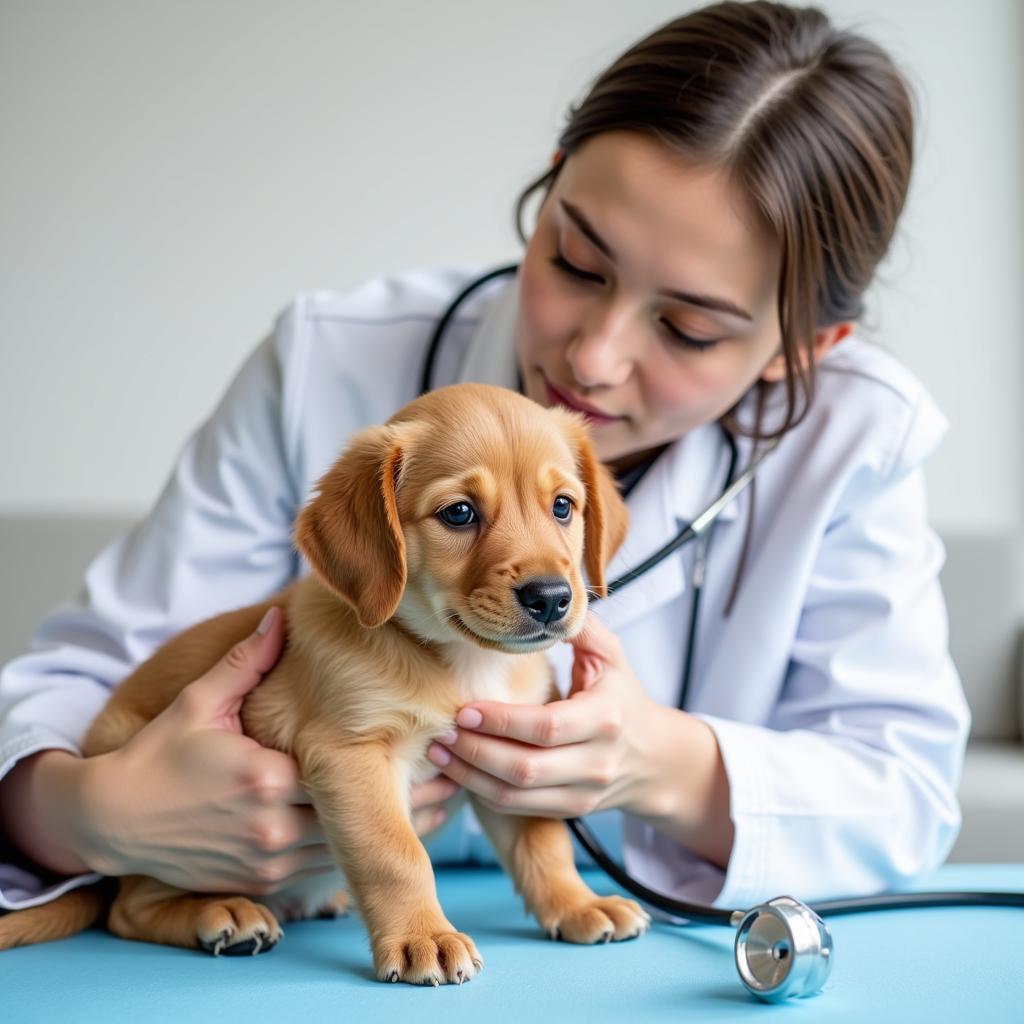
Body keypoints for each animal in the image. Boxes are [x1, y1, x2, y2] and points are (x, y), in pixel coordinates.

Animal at [0, 380, 651, 978]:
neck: (460, 659)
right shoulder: (349, 752)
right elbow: (397, 853)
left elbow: (543, 842)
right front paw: (424, 937)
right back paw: (222, 913)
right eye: (459, 513)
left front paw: (576, 904)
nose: (551, 598)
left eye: (563, 506)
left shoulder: (503, 754)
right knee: (130, 907)